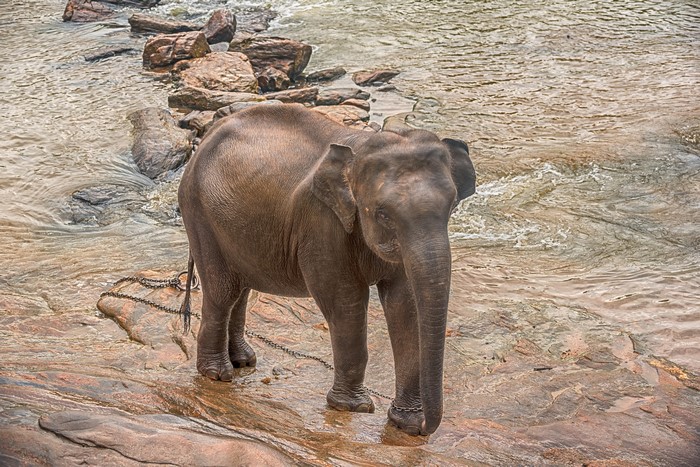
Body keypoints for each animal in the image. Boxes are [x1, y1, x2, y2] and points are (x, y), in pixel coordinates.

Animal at [177, 103, 476, 435]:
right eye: (383, 213)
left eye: (452, 205)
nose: (426, 428)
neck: (358, 148)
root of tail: (204, 140)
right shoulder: (321, 223)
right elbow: (345, 302)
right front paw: (354, 407)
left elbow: (405, 305)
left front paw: (405, 423)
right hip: (198, 212)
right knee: (222, 291)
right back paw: (217, 374)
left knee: (240, 288)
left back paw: (244, 361)